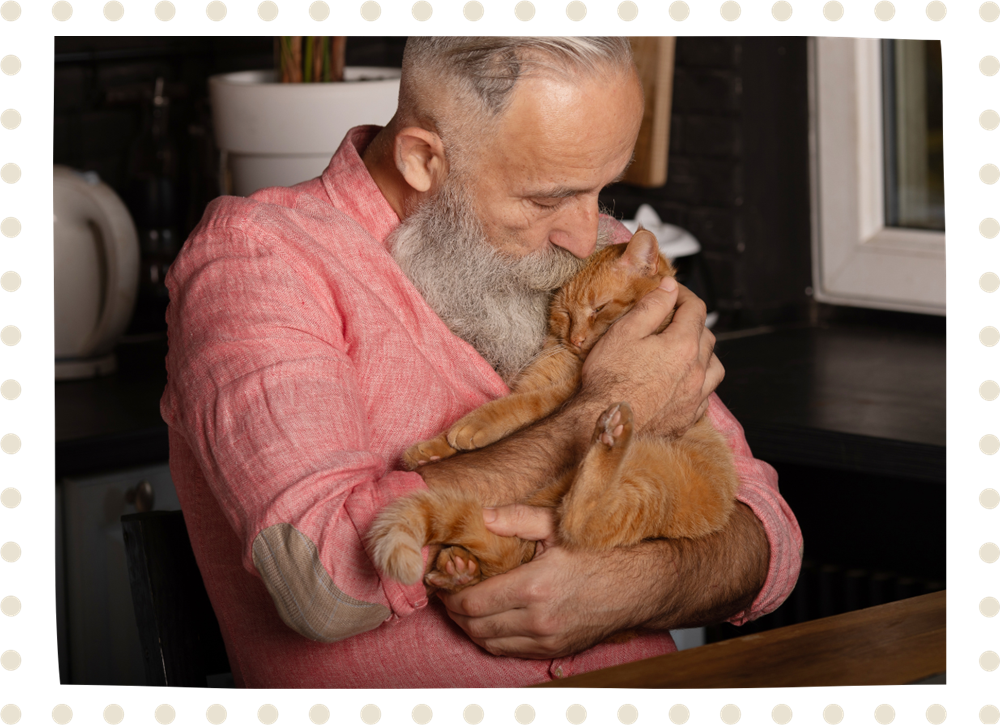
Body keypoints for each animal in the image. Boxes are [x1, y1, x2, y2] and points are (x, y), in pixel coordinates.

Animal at [364, 229, 740, 596]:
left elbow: (511, 408)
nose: (576, 340)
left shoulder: (558, 394)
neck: (567, 357)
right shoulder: (537, 382)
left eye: (599, 308)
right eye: (566, 315)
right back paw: (457, 569)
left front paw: (470, 428)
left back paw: (612, 437)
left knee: (582, 522)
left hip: (653, 485)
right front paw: (430, 450)